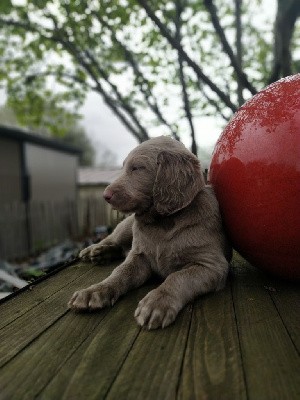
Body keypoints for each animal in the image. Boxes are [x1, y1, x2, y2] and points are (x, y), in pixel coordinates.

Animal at [68, 136, 232, 330]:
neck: (162, 223)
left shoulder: (211, 264)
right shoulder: (139, 255)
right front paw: (95, 290)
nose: (105, 195)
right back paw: (94, 250)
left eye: (137, 168)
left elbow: (178, 277)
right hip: (126, 227)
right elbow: (120, 272)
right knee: (113, 239)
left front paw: (157, 303)